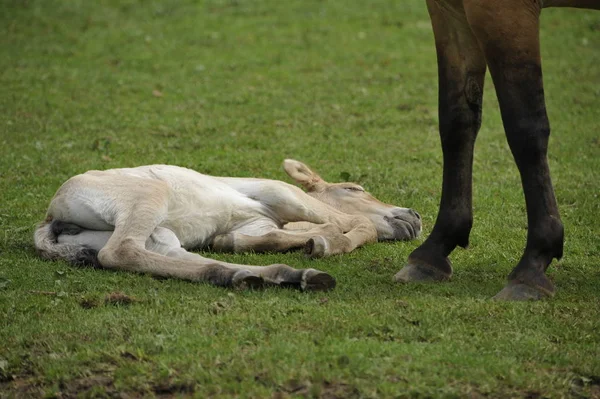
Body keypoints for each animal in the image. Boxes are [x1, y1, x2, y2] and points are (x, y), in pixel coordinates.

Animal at [35, 159, 422, 290]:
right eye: (354, 188)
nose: (415, 217)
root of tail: (50, 218)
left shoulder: (255, 224)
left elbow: (254, 238)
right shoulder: (281, 192)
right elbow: (359, 223)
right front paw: (326, 242)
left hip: (159, 236)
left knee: (184, 261)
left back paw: (273, 276)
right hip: (148, 197)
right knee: (120, 252)